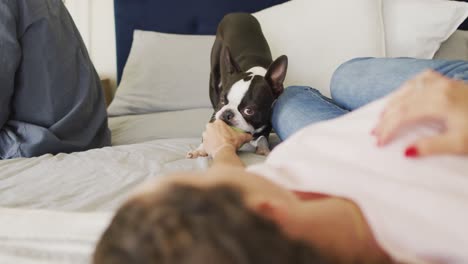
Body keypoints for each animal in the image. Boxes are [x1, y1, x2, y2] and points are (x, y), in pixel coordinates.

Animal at [187, 12, 288, 159]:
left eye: (249, 110)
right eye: (223, 100)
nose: (227, 114)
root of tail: (237, 13)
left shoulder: (268, 118)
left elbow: (263, 136)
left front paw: (263, 148)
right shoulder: (216, 111)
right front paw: (200, 149)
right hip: (214, 76)